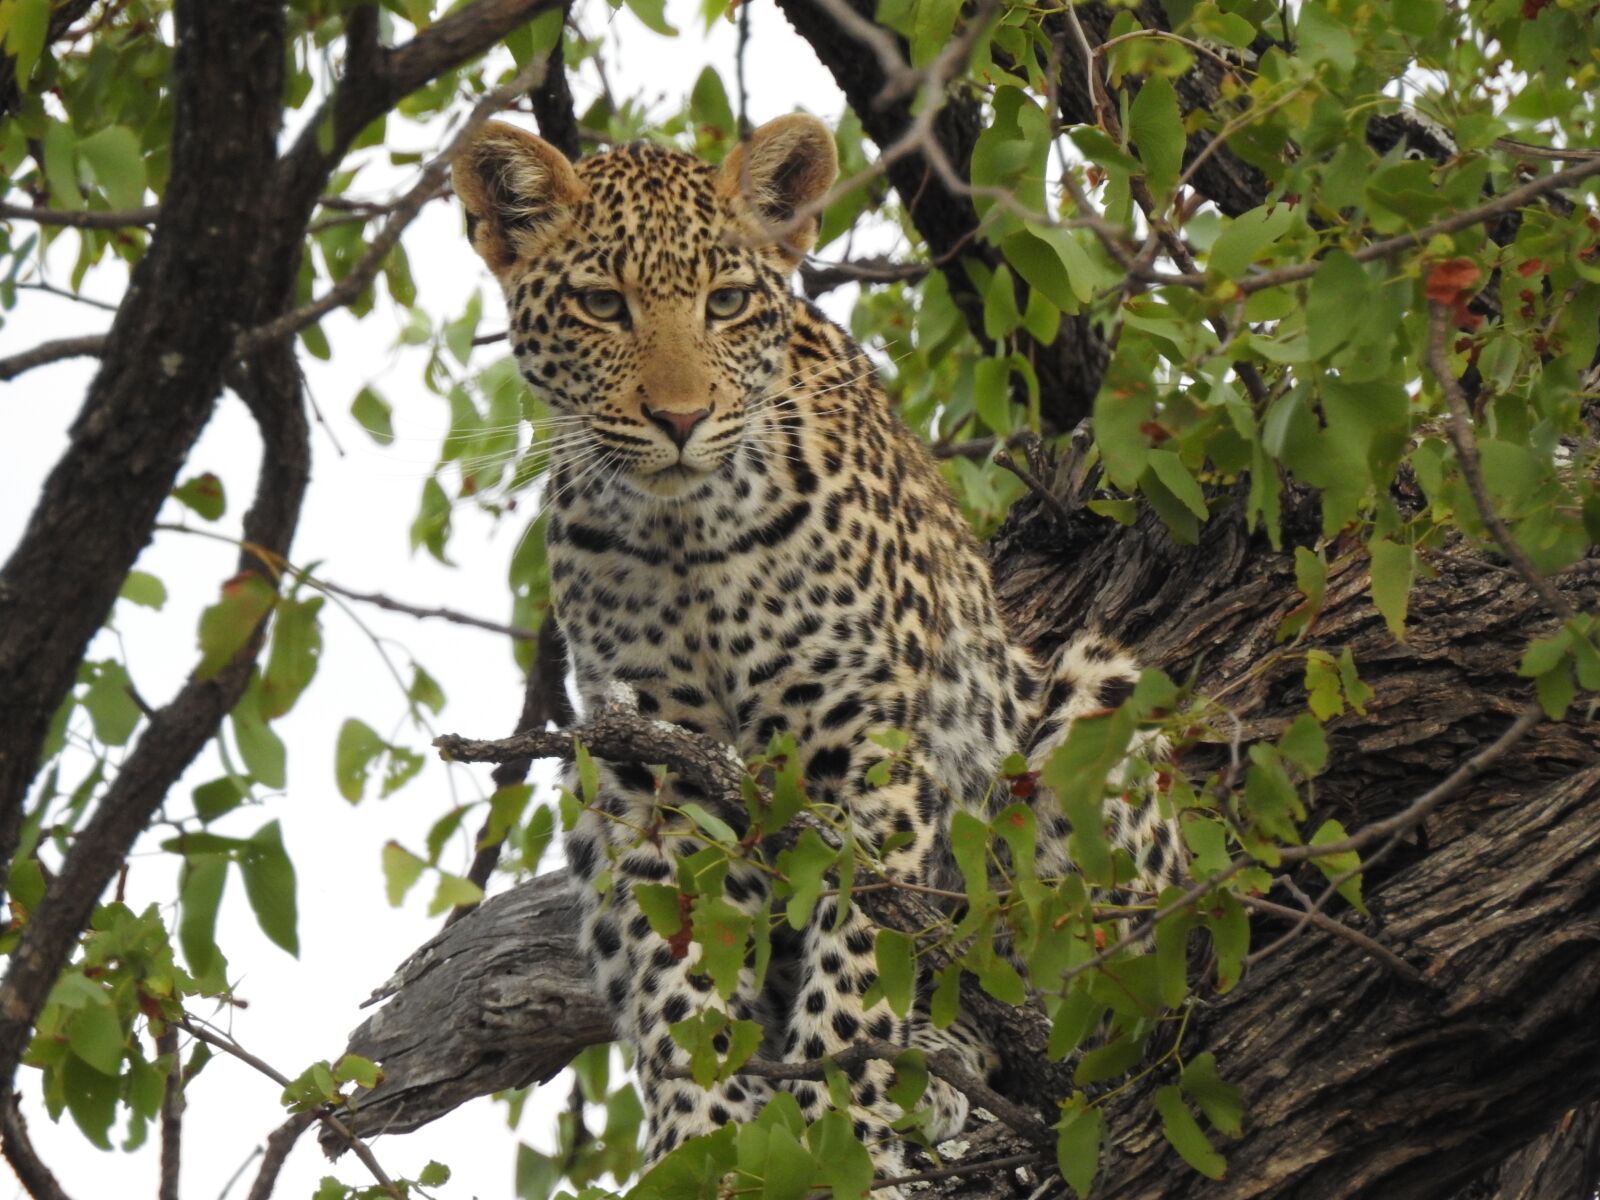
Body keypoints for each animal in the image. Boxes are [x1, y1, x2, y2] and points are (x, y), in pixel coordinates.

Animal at [452, 113, 1181, 1177]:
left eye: (725, 302)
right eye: (601, 305)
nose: (680, 420)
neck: (688, 535)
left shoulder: (857, 753)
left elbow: (859, 962)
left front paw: (849, 1133)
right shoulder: (655, 781)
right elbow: (680, 979)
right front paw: (706, 1142)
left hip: (1098, 713)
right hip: (591, 816)